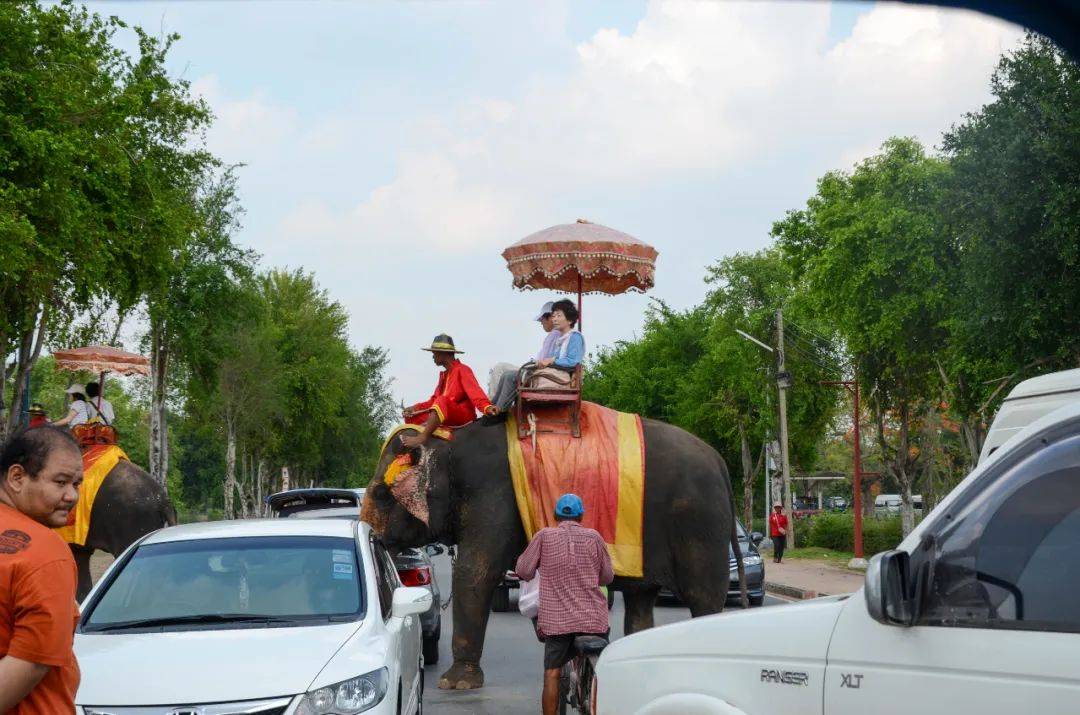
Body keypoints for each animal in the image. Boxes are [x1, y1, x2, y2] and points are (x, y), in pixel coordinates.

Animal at [362, 416, 743, 691]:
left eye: (380, 493)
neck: (450, 441)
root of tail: (721, 463)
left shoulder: (493, 496)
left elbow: (476, 571)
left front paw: (455, 684)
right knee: (641, 599)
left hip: (700, 524)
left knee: (704, 598)